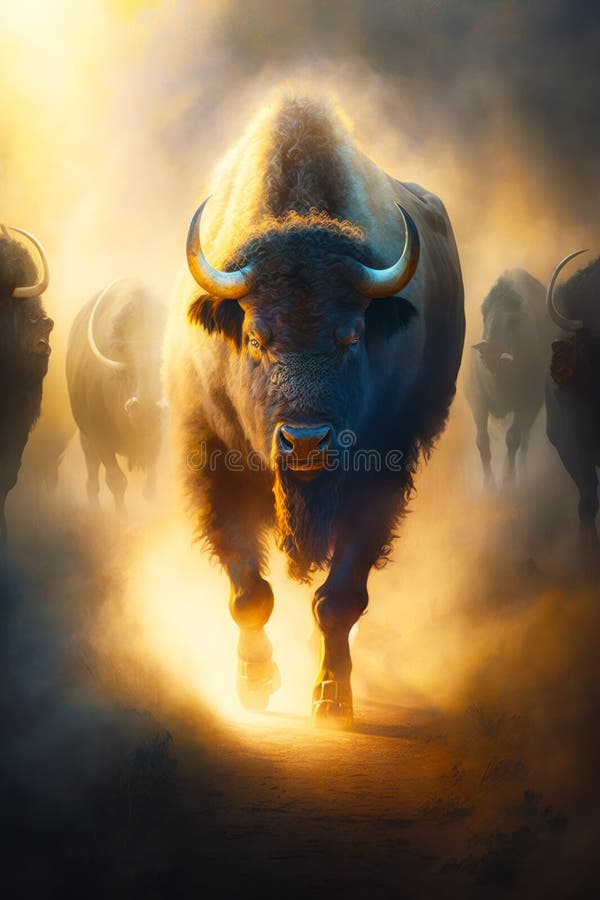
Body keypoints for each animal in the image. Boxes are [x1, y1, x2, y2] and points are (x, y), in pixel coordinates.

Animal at [66, 279, 166, 510]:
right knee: (92, 479)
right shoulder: (100, 440)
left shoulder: (159, 437)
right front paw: (122, 514)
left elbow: (152, 483)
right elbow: (116, 480)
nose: (146, 410)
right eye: (128, 372)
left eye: (161, 366)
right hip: (85, 439)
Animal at [164, 96, 465, 726]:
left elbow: (340, 598)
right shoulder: (212, 462)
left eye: (350, 336)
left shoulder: (383, 474)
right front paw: (255, 684)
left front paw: (331, 696)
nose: (304, 442)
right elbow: (249, 591)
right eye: (256, 338)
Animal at [467, 269, 548, 489]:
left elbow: (513, 438)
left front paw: (508, 479)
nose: (490, 354)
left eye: (514, 321)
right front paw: (489, 484)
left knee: (525, 439)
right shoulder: (476, 399)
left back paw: (523, 474)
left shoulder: (528, 401)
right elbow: (481, 440)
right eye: (484, 314)